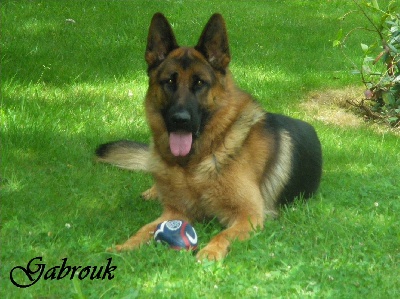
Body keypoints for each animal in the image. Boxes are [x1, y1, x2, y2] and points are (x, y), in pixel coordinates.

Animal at [96, 12, 322, 262]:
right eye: (170, 81)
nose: (180, 119)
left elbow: (223, 235)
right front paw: (123, 247)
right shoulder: (175, 212)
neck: (194, 164)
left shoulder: (249, 215)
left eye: (199, 83)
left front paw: (210, 253)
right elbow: (144, 230)